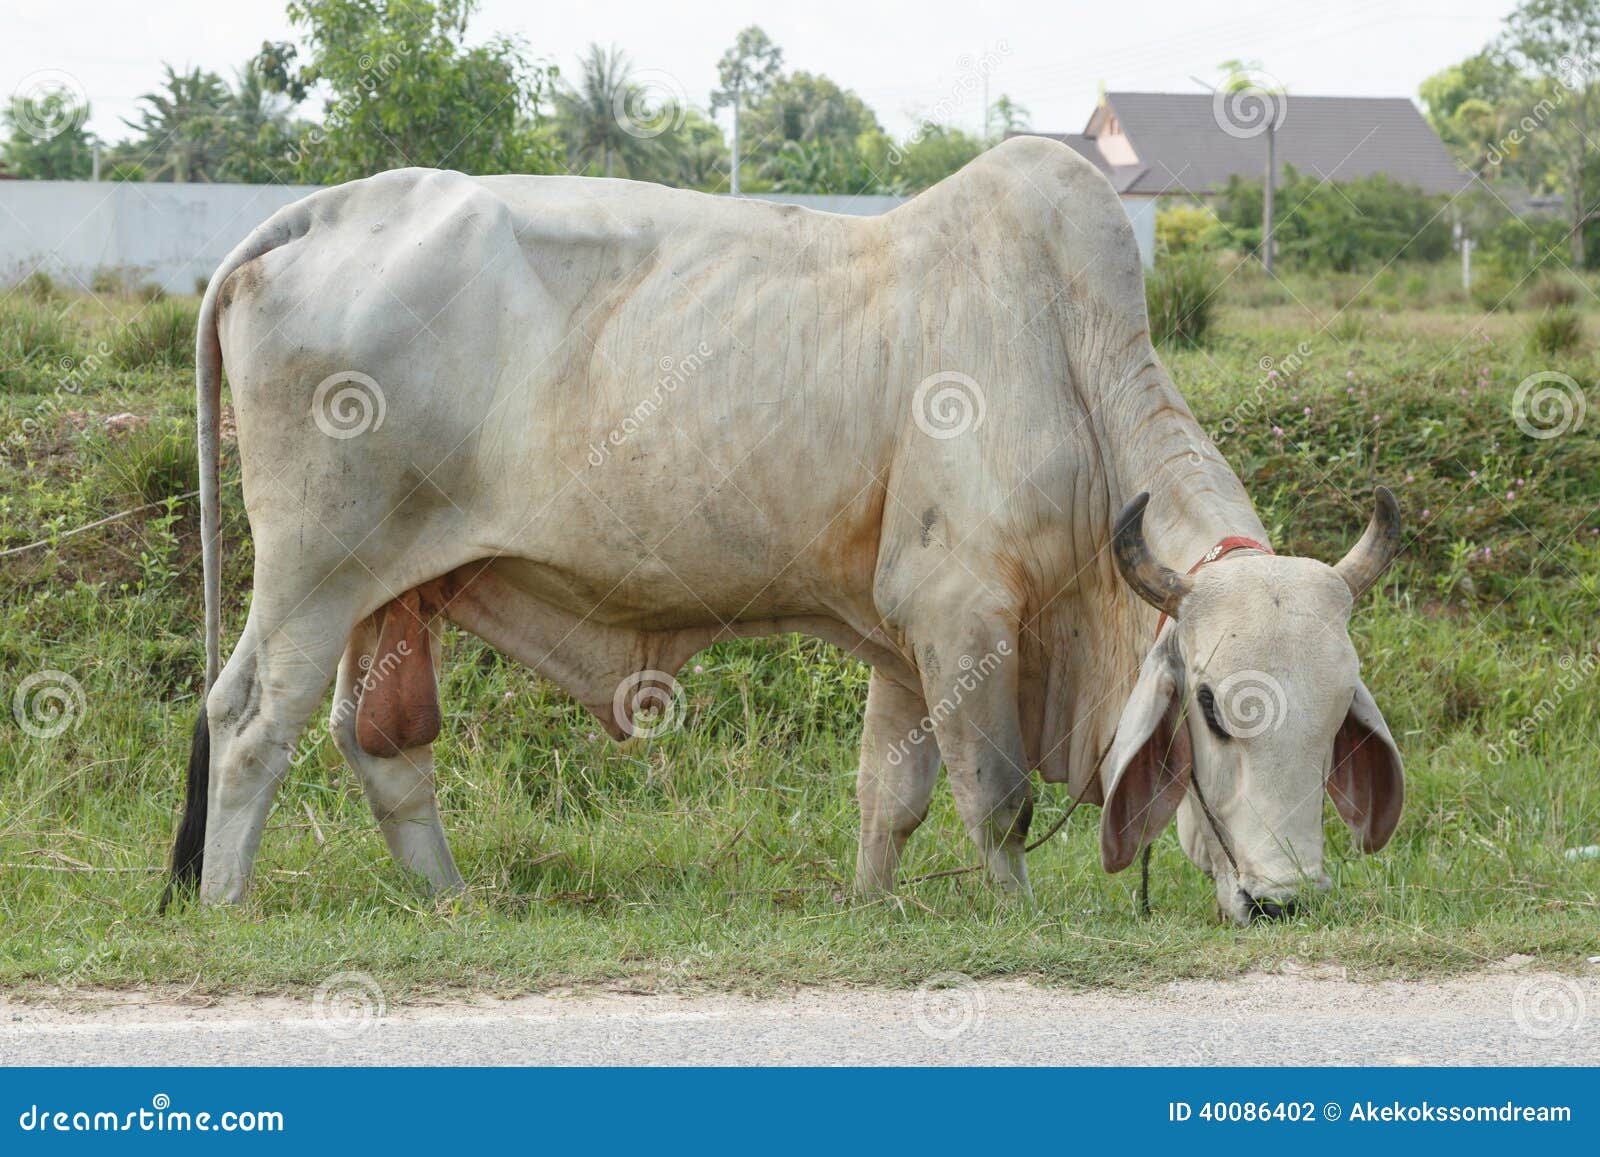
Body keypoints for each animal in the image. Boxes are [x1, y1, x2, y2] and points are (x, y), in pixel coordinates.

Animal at [162, 136, 1403, 925]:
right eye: (1215, 709)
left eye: (1337, 713)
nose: (1283, 899)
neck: (1068, 356)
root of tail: (314, 213)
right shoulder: (965, 613)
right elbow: (994, 795)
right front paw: (1016, 916)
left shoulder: (908, 634)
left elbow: (890, 793)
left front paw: (870, 907)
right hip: (313, 568)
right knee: (249, 719)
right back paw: (228, 903)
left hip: (392, 586)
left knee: (379, 745)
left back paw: (452, 902)